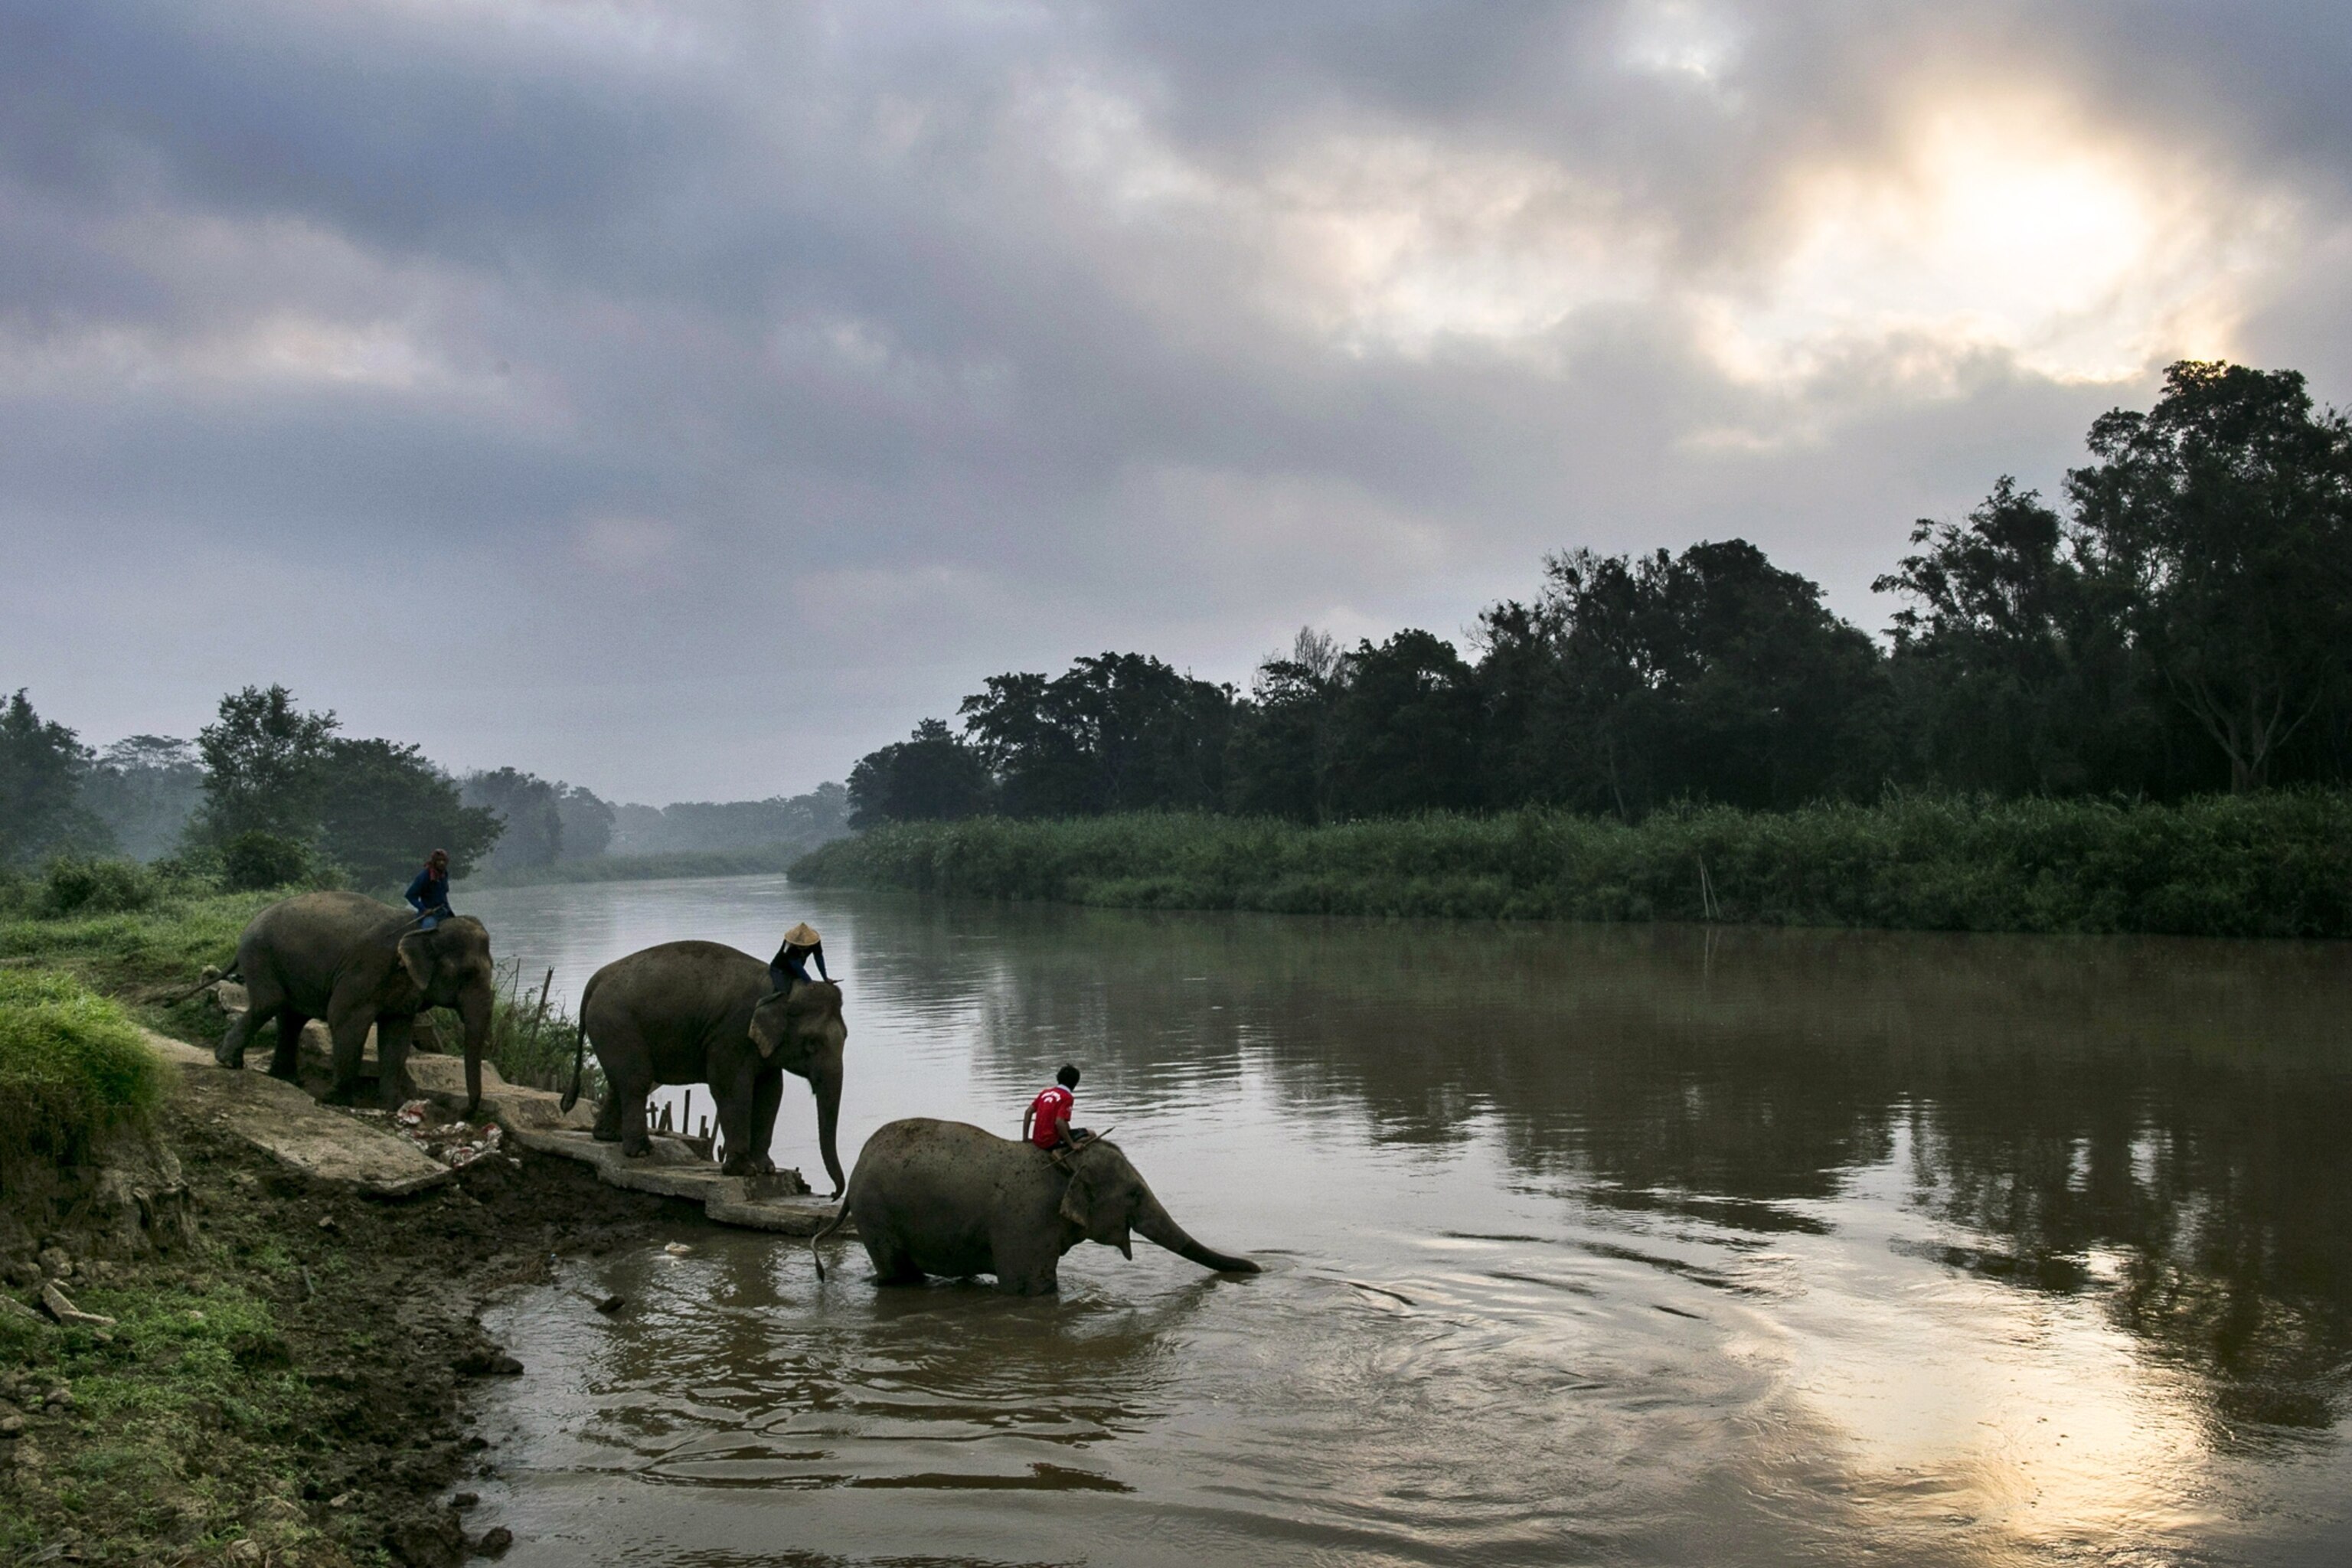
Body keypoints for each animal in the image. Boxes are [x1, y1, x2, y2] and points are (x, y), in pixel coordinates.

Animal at [215, 891, 497, 1115]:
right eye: (467, 974)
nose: (464, 1111)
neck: (425, 929)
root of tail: (252, 922)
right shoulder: (366, 970)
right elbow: (344, 1018)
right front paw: (335, 1099)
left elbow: (397, 1034)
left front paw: (394, 1104)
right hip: (260, 956)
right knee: (270, 1003)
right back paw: (229, 1062)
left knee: (291, 1017)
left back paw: (287, 1079)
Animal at [561, 940, 847, 1192]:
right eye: (812, 1044)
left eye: (845, 1037)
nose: (834, 1194)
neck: (783, 989)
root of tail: (597, 978)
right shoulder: (731, 1034)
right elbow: (731, 1088)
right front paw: (744, 1171)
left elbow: (771, 1092)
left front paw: (766, 1169)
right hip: (616, 1022)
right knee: (637, 1081)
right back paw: (640, 1152)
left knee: (618, 1081)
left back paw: (608, 1137)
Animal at [811, 1118, 1259, 1296]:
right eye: (1133, 1194)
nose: (1257, 1269)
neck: (1066, 1163)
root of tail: (855, 1170)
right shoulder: (1025, 1225)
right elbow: (1033, 1290)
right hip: (876, 1216)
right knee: (899, 1272)